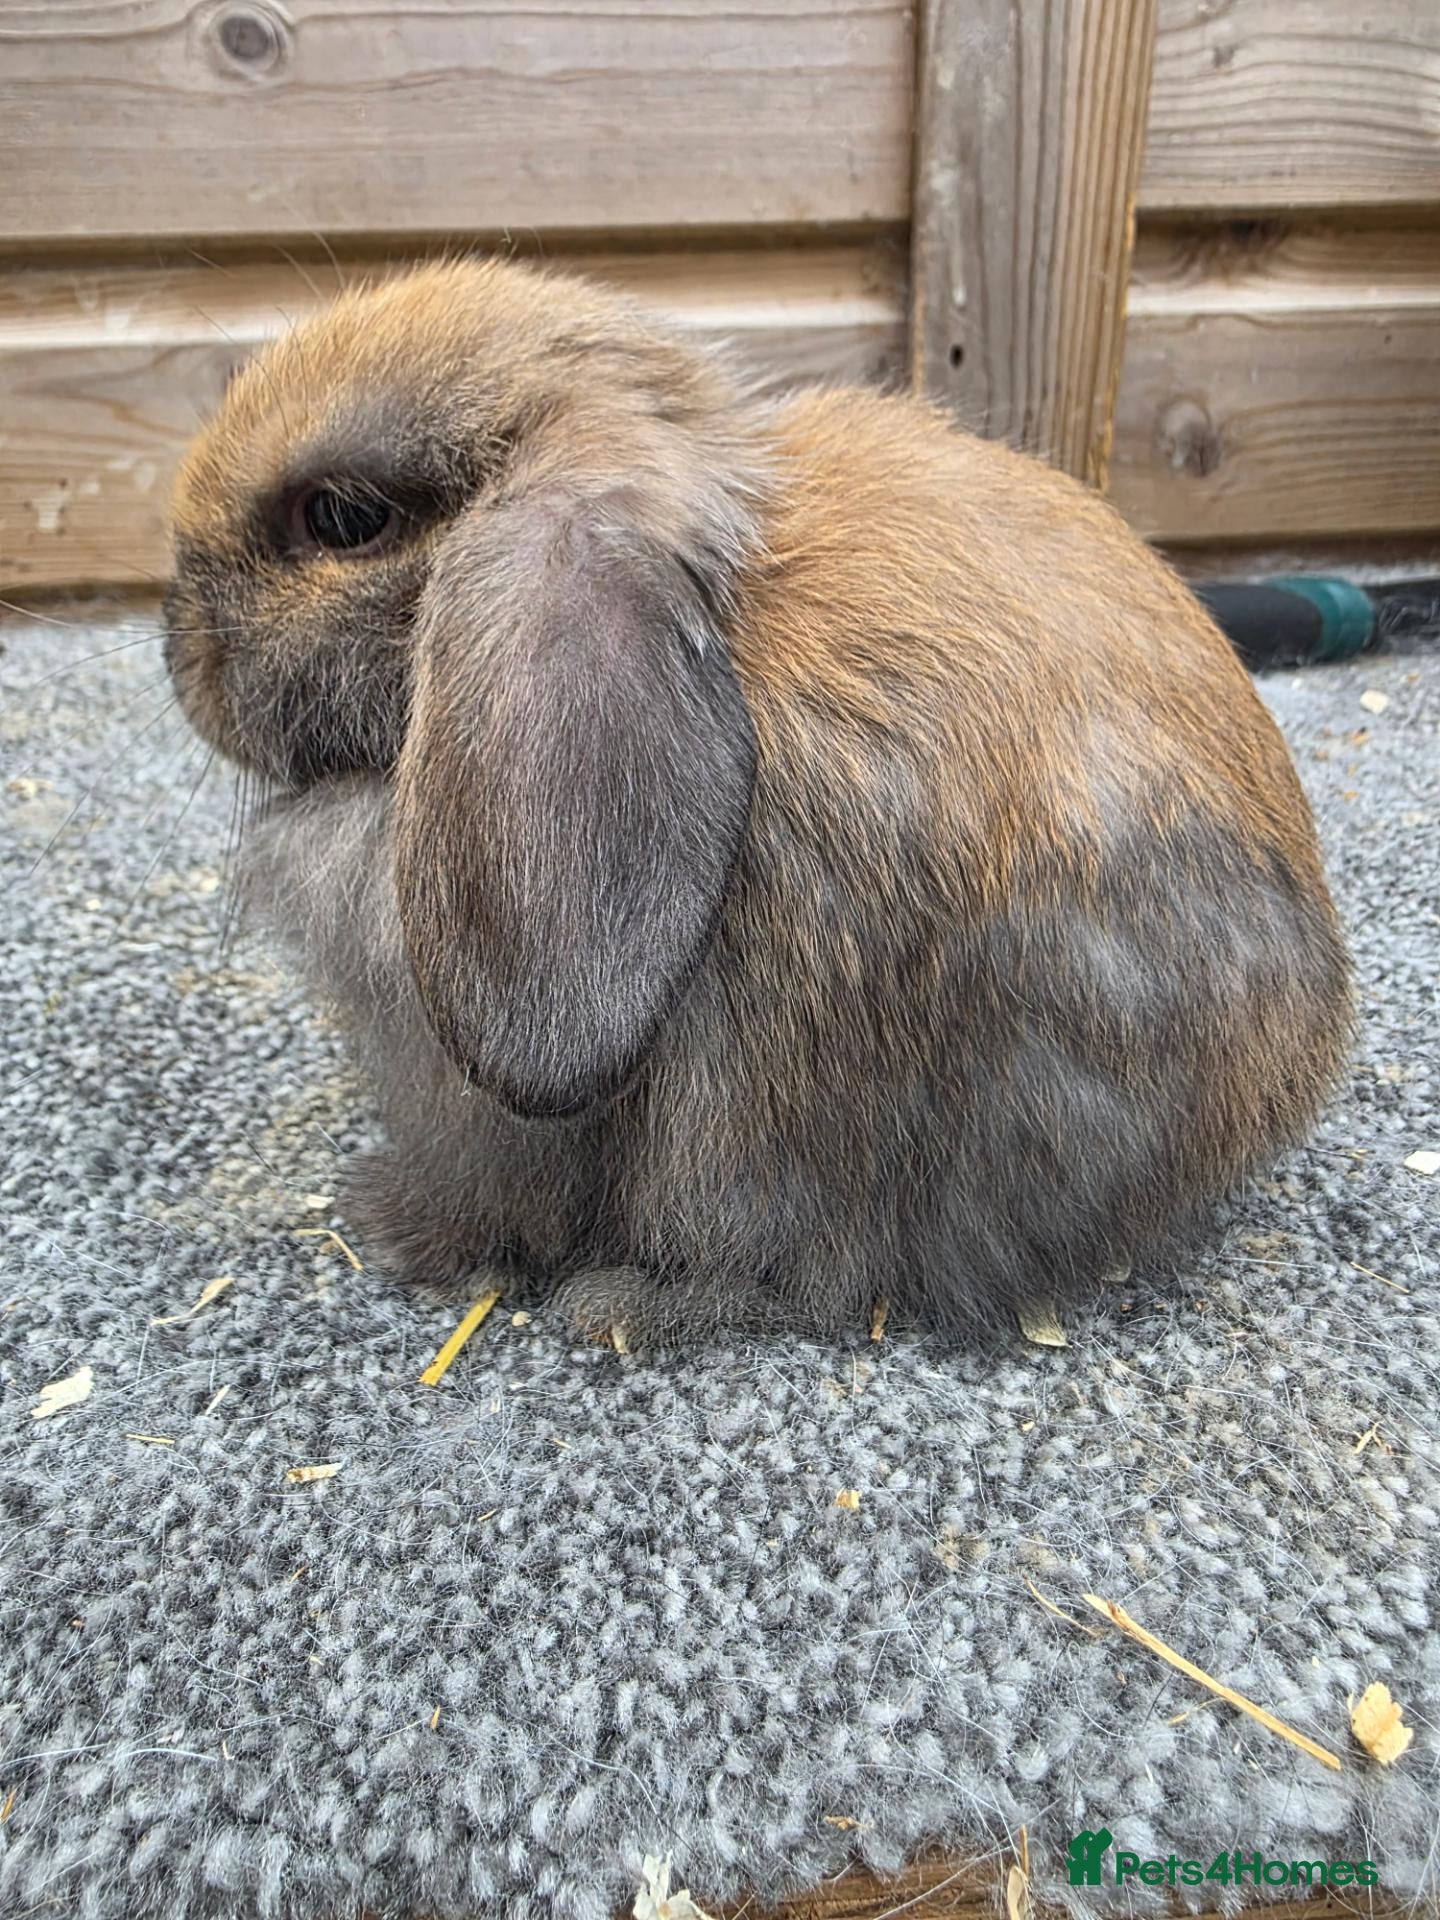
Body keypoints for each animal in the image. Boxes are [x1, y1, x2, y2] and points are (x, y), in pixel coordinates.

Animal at [164, 258, 1352, 1345]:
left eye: (341, 519)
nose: (181, 652)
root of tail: (1269, 1093)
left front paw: (399, 1229)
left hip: (785, 1125)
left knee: (813, 1270)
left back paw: (627, 1303)